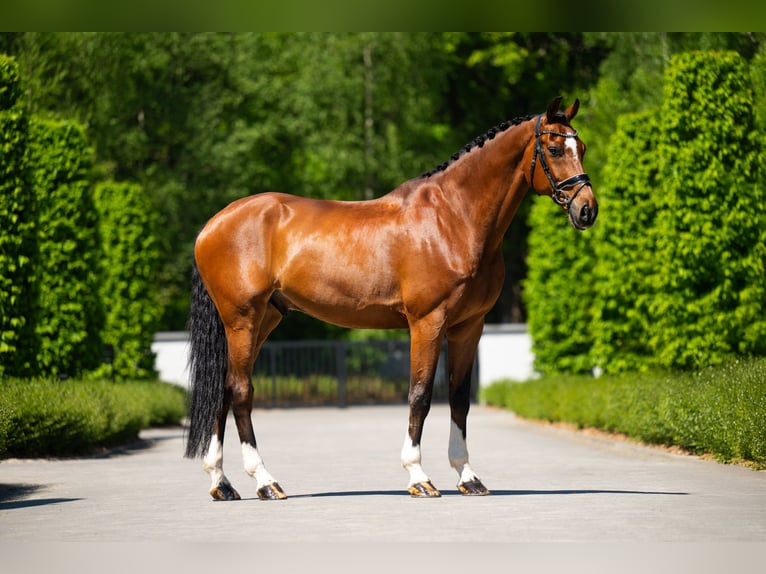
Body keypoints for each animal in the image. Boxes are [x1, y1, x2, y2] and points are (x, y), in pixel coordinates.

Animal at [184, 96, 597, 500]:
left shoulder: (468, 327)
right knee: (240, 391)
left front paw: (468, 477)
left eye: (582, 148)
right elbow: (420, 395)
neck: (453, 218)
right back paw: (265, 481)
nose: (587, 210)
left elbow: (459, 398)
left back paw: (222, 483)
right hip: (242, 319)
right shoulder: (427, 322)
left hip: (263, 320)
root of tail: (212, 225)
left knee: (224, 389)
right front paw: (419, 477)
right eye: (555, 148)